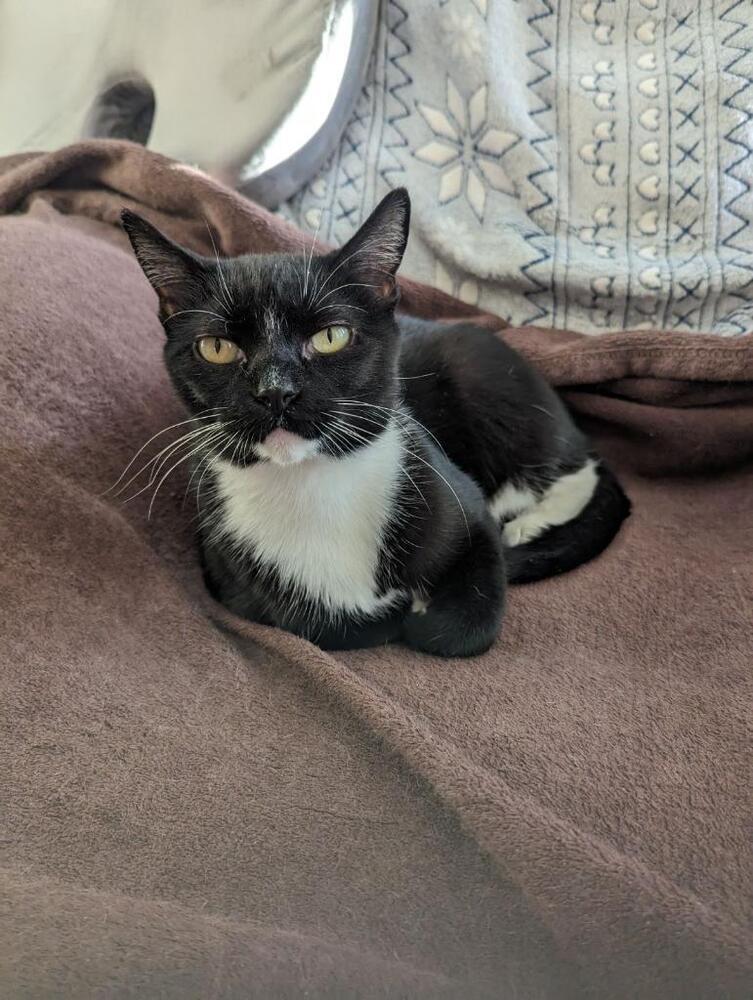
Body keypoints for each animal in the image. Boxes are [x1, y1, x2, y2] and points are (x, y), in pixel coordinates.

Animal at [123, 189, 628, 656]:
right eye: (217, 348)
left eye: (331, 336)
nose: (276, 392)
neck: (312, 484)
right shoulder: (225, 574)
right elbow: (313, 623)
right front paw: (391, 610)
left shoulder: (457, 499)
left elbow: (465, 624)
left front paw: (424, 610)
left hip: (486, 383)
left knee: (577, 471)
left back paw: (528, 522)